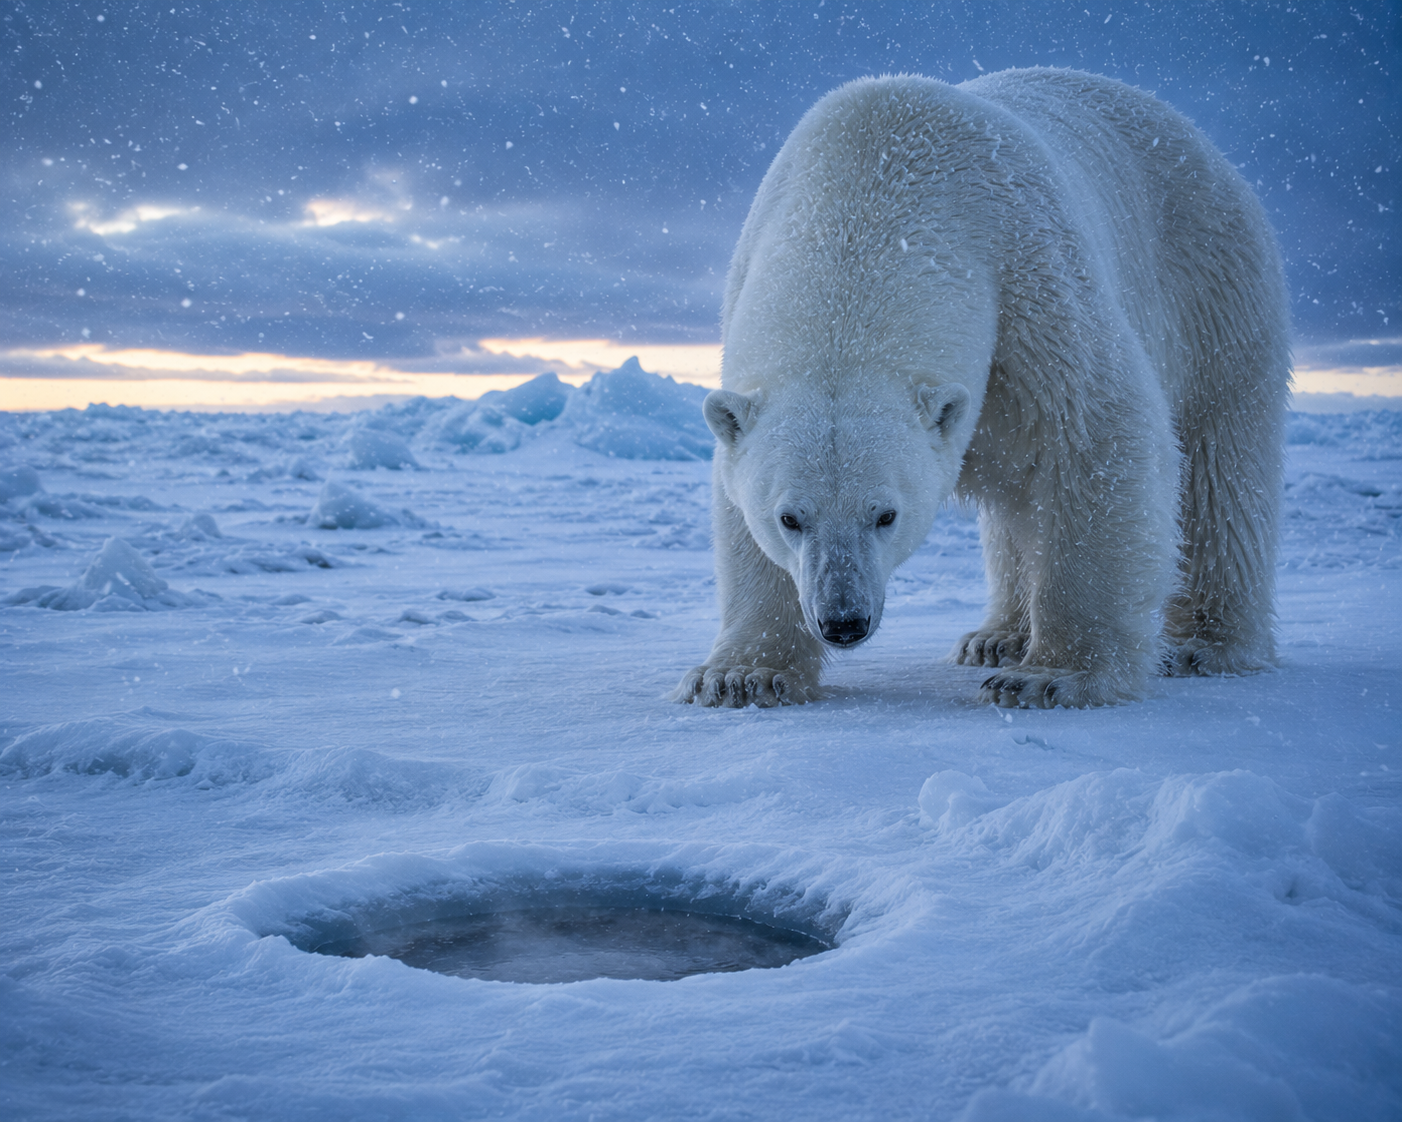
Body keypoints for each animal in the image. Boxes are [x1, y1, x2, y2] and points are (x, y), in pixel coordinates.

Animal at [674, 68, 1290, 710]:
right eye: (789, 518)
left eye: (886, 514)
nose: (843, 620)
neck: (870, 180)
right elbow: (737, 505)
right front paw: (741, 676)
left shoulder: (1031, 280)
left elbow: (1098, 433)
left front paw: (1051, 677)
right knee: (1021, 505)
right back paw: (996, 638)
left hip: (1215, 292)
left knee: (1218, 468)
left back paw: (1205, 644)